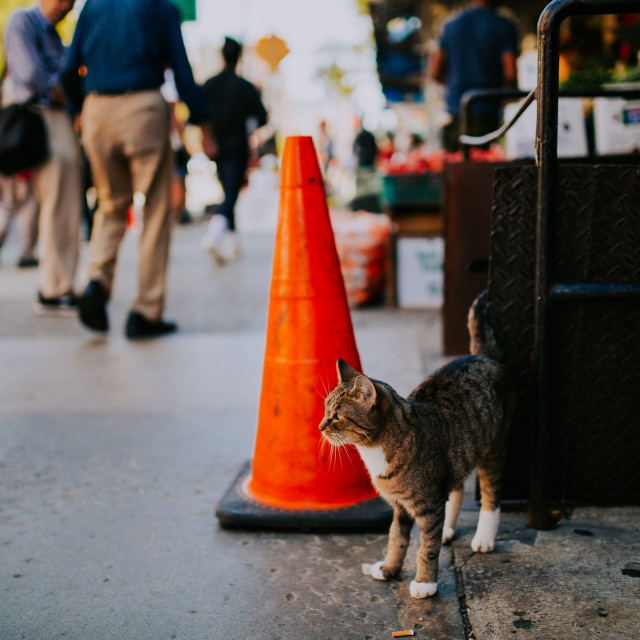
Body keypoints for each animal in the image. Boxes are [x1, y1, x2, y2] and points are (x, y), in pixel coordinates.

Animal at [320, 292, 516, 596]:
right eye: (325, 409)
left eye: (337, 416)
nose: (320, 427)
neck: (376, 450)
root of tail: (483, 356)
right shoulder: (401, 506)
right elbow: (396, 539)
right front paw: (389, 568)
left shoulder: (429, 503)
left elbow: (426, 548)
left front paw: (425, 583)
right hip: (458, 453)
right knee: (457, 485)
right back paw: (448, 529)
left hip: (494, 447)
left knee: (491, 492)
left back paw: (484, 537)